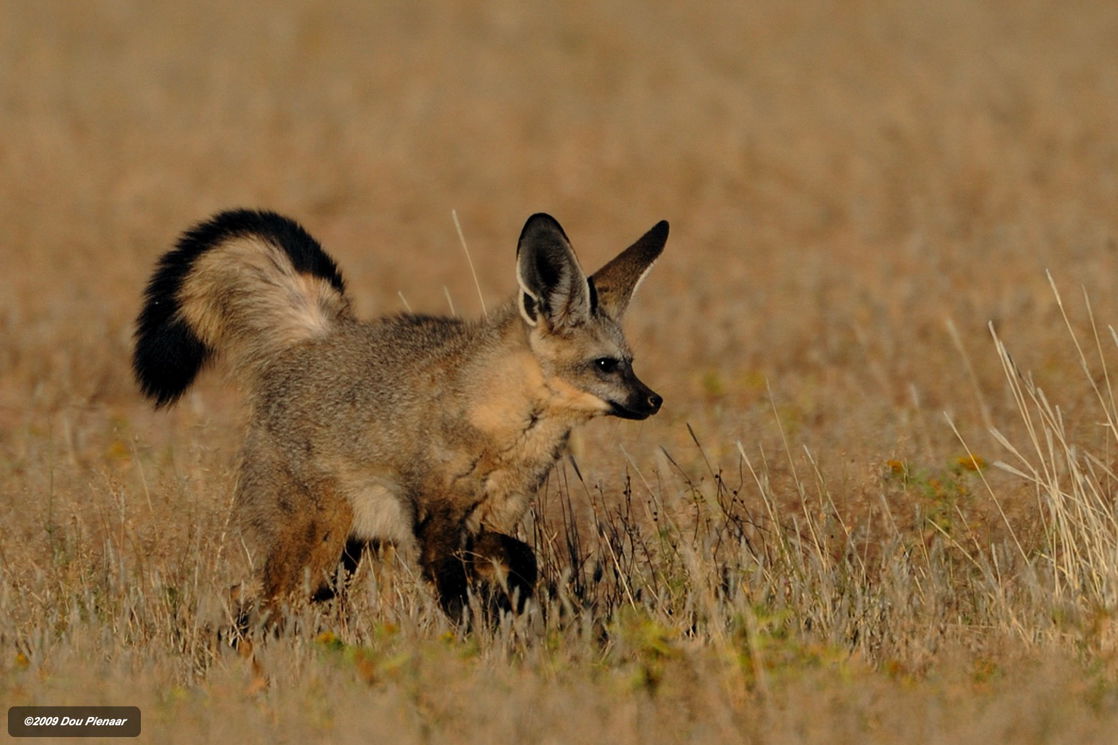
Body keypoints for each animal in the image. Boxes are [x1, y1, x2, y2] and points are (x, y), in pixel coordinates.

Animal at [135, 210, 666, 621]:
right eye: (606, 365)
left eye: (632, 362)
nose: (654, 401)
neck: (504, 434)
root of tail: (315, 340)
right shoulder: (434, 525)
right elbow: (457, 601)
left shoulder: (486, 523)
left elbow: (521, 558)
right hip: (315, 553)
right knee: (249, 605)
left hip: (337, 559)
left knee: (246, 598)